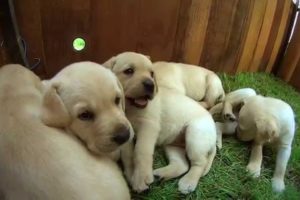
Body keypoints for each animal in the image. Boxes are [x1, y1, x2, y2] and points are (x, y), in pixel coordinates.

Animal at [104, 51, 217, 194]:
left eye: (152, 73)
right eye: (129, 71)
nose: (150, 85)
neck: (130, 109)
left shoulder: (149, 126)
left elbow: (141, 151)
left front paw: (141, 178)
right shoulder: (126, 133)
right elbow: (128, 155)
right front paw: (131, 175)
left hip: (195, 137)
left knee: (199, 163)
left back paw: (188, 182)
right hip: (173, 144)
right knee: (182, 165)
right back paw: (160, 175)